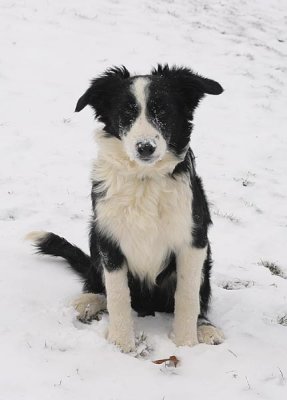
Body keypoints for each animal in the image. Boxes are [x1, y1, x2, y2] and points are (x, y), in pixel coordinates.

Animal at [27, 64, 225, 352]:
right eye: (126, 113)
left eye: (162, 110)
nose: (145, 147)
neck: (145, 179)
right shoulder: (109, 240)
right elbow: (118, 294)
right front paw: (121, 344)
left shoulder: (193, 240)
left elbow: (188, 296)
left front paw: (186, 343)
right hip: (94, 234)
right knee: (99, 284)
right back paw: (88, 301)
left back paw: (206, 328)